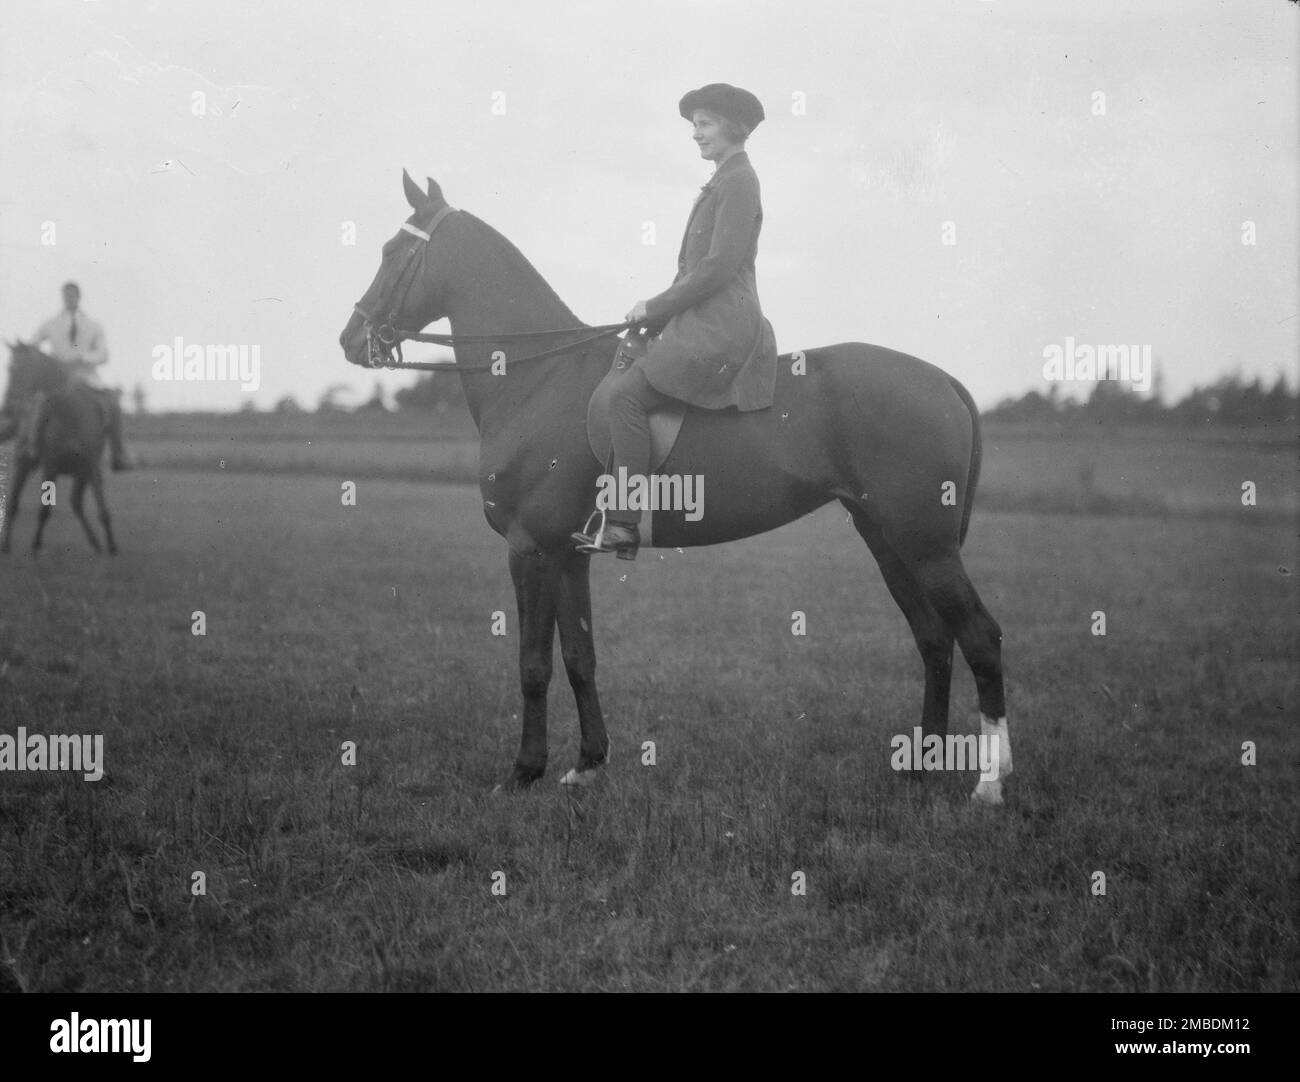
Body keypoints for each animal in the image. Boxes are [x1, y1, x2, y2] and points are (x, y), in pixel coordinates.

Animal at [0, 341, 117, 555]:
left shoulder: (91, 466)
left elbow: (102, 507)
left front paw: (112, 548)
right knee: (13, 503)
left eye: (21, 369)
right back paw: (5, 546)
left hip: (80, 473)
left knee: (76, 503)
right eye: (9, 368)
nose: (8, 408)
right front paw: (35, 548)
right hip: (22, 463)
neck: (69, 411)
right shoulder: (51, 466)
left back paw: (96, 543)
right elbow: (44, 510)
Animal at [339, 170, 1012, 804]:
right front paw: (587, 765)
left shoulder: (529, 550)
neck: (540, 377)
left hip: (925, 545)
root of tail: (942, 379)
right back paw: (919, 770)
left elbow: (533, 664)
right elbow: (579, 657)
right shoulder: (567, 556)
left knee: (978, 636)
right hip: (887, 541)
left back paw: (988, 783)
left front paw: (523, 772)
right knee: (934, 639)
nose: (349, 339)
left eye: (393, 250)